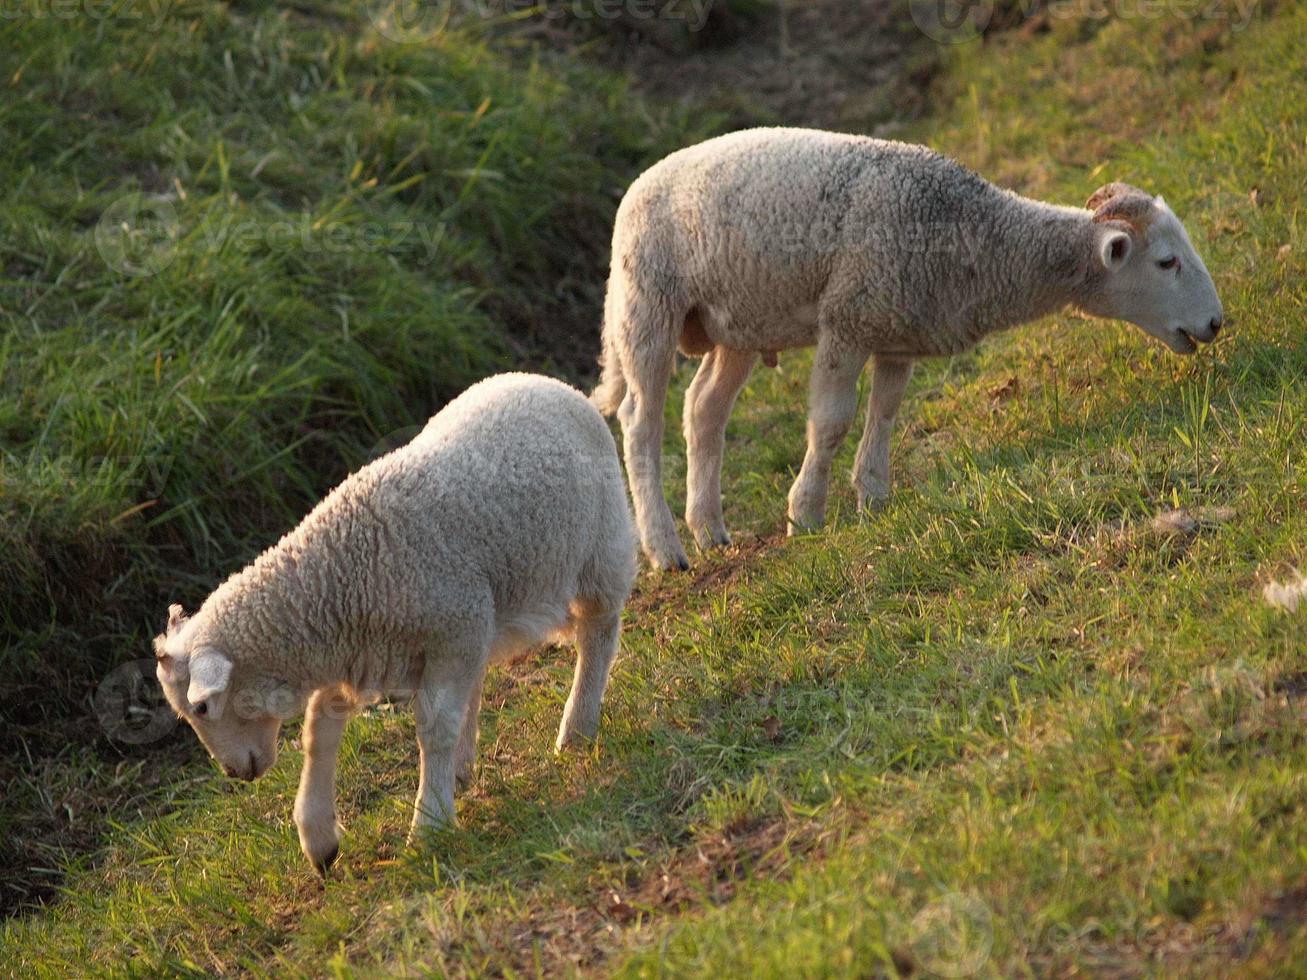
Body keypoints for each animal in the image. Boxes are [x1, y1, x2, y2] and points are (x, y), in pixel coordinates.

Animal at [152, 376, 637, 872]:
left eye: (202, 707)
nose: (235, 774)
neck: (339, 577)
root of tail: (544, 382)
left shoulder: (447, 628)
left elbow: (435, 728)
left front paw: (429, 826)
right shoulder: (363, 653)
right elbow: (318, 730)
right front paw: (317, 836)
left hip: (599, 549)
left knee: (598, 634)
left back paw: (576, 730)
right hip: (480, 615)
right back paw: (463, 767)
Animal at [593, 131, 1223, 574]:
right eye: (1167, 261)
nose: (1216, 323)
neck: (972, 237)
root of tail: (635, 189)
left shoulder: (895, 328)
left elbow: (886, 413)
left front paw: (873, 497)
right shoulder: (847, 318)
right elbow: (831, 422)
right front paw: (806, 514)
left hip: (736, 325)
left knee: (703, 410)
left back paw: (709, 529)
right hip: (647, 301)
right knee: (640, 424)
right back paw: (666, 548)